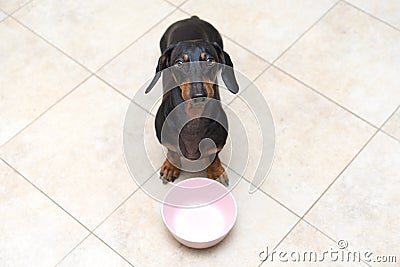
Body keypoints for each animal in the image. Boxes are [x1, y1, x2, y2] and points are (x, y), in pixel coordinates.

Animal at [145, 16, 239, 186]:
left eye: (210, 60)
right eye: (179, 63)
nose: (198, 94)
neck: (193, 118)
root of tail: (192, 18)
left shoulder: (217, 143)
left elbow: (213, 156)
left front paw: (216, 172)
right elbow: (172, 151)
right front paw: (171, 167)